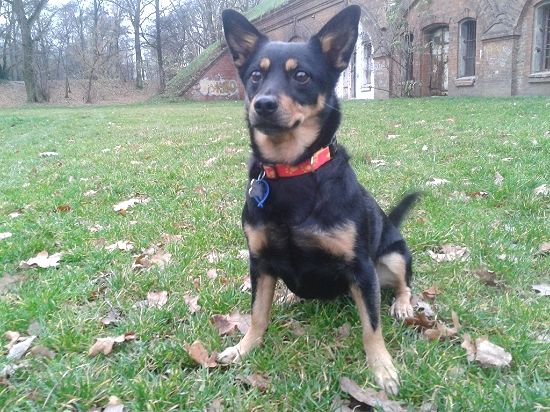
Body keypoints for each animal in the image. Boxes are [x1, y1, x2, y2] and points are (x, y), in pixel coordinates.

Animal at [218, 5, 419, 395]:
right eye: (255, 76)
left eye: (301, 75)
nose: (263, 104)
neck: (293, 170)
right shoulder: (260, 261)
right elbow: (257, 314)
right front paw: (244, 347)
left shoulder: (361, 268)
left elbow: (372, 326)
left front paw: (382, 368)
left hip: (392, 255)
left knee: (404, 284)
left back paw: (403, 305)